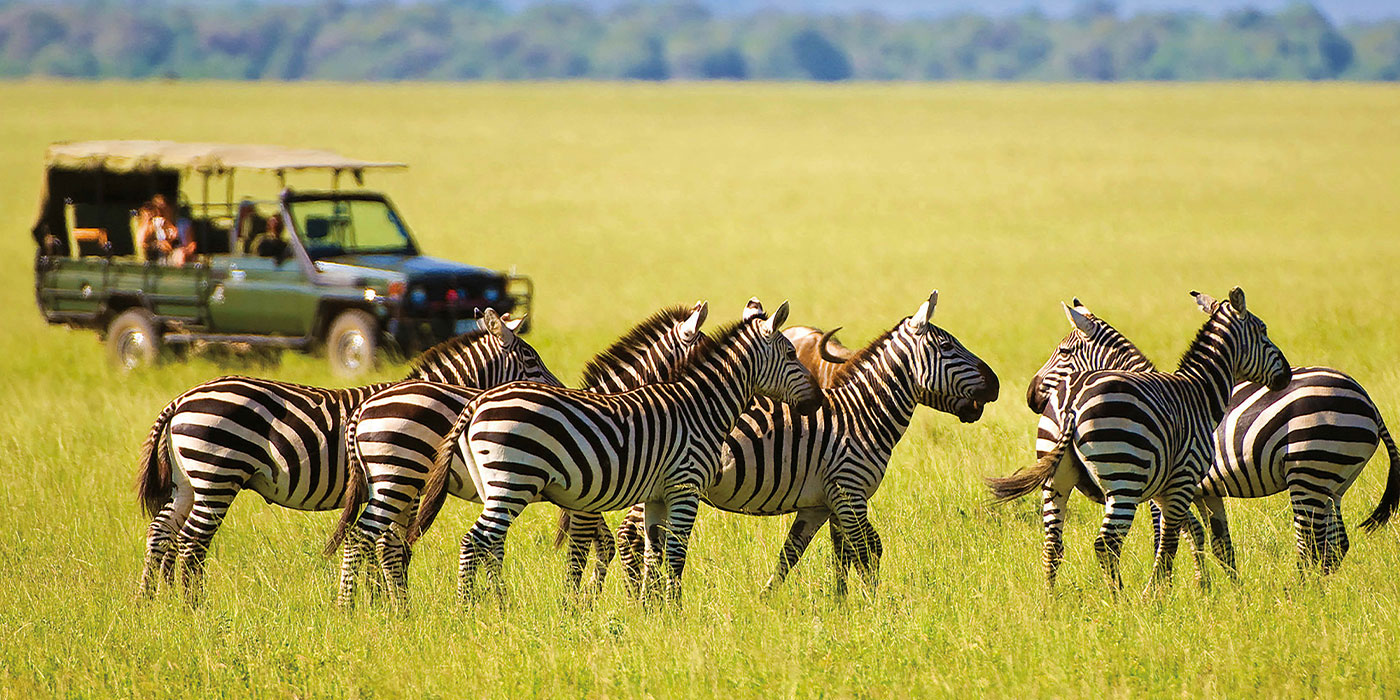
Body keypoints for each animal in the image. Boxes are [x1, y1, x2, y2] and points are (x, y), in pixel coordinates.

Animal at [134, 310, 556, 605]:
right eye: (532, 362)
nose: (562, 391)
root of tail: (180, 400)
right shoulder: (406, 484)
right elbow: (394, 547)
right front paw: (388, 604)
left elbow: (381, 548)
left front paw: (378, 602)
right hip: (217, 474)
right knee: (192, 540)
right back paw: (193, 606)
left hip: (189, 480)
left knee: (162, 531)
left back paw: (151, 603)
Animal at [325, 302, 709, 610]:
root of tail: (364, 408)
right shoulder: (586, 502)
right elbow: (597, 547)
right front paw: (587, 602)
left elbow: (602, 545)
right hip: (401, 477)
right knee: (376, 539)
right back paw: (363, 606)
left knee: (384, 541)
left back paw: (387, 605)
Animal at [411, 300, 824, 605]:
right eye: (791, 353)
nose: (819, 400)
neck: (698, 405)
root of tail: (477, 402)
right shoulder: (683, 488)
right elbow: (669, 554)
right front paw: (665, 611)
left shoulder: (656, 495)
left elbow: (651, 552)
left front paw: (650, 610)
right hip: (507, 481)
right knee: (474, 541)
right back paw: (467, 608)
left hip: (494, 487)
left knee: (487, 542)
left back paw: (493, 604)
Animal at [615, 292, 1001, 598]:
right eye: (948, 346)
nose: (996, 384)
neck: (862, 415)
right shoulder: (849, 492)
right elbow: (866, 551)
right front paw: (873, 609)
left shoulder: (822, 504)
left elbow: (810, 555)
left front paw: (821, 605)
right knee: (630, 534)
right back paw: (637, 600)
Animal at [987, 287, 1291, 591]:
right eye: (1264, 331)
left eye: (1063, 351)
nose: (1030, 396)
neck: (1199, 394)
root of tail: (1071, 402)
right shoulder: (1179, 481)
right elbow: (1171, 539)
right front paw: (1165, 591)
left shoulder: (1168, 489)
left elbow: (1190, 534)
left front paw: (1197, 587)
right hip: (1123, 481)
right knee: (1106, 544)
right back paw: (1121, 599)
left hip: (1058, 481)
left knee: (1054, 544)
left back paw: (1050, 601)